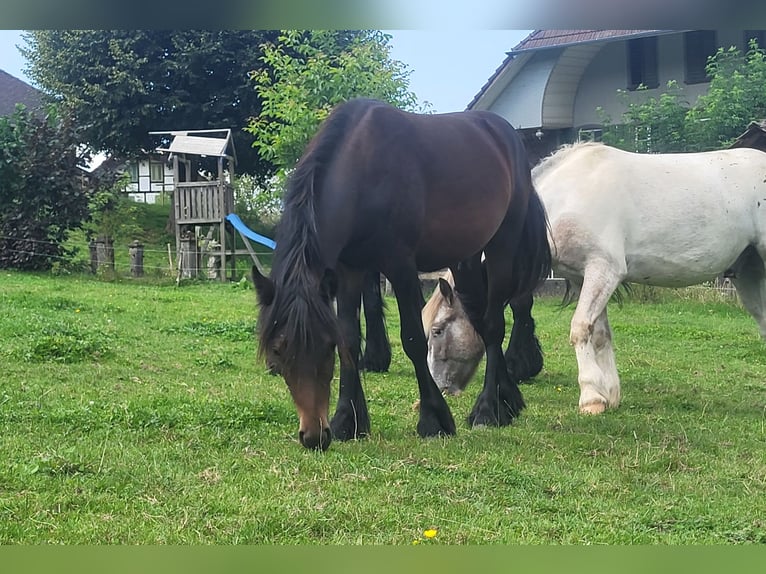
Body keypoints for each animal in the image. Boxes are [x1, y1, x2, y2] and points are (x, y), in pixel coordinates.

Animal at [254, 98, 552, 450]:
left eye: (324, 348)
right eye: (277, 351)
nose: (314, 435)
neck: (362, 170)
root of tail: (506, 134)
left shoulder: (401, 267)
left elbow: (412, 339)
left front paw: (434, 418)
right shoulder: (348, 269)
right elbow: (350, 339)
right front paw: (347, 421)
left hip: (502, 245)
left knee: (494, 324)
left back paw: (488, 410)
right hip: (465, 259)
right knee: (480, 319)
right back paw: (509, 400)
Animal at [426, 142, 766, 416]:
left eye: (438, 330)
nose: (441, 387)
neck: (566, 198)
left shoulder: (604, 271)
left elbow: (580, 329)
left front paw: (590, 397)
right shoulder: (583, 278)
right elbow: (600, 333)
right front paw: (608, 396)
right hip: (749, 274)